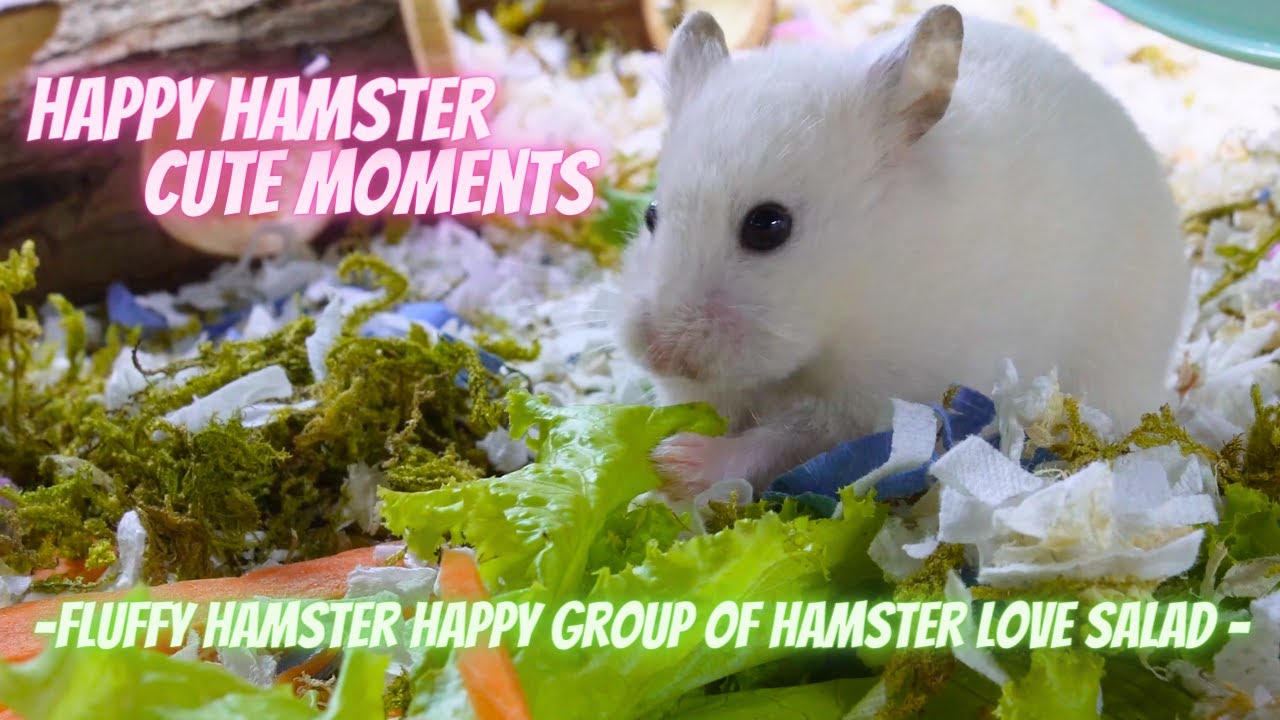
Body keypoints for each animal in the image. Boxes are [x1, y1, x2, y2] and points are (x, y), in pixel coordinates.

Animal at [614, 5, 1191, 499]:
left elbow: (784, 438)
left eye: (769, 226)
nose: (658, 352)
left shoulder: (875, 403)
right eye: (651, 215)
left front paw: (674, 460)